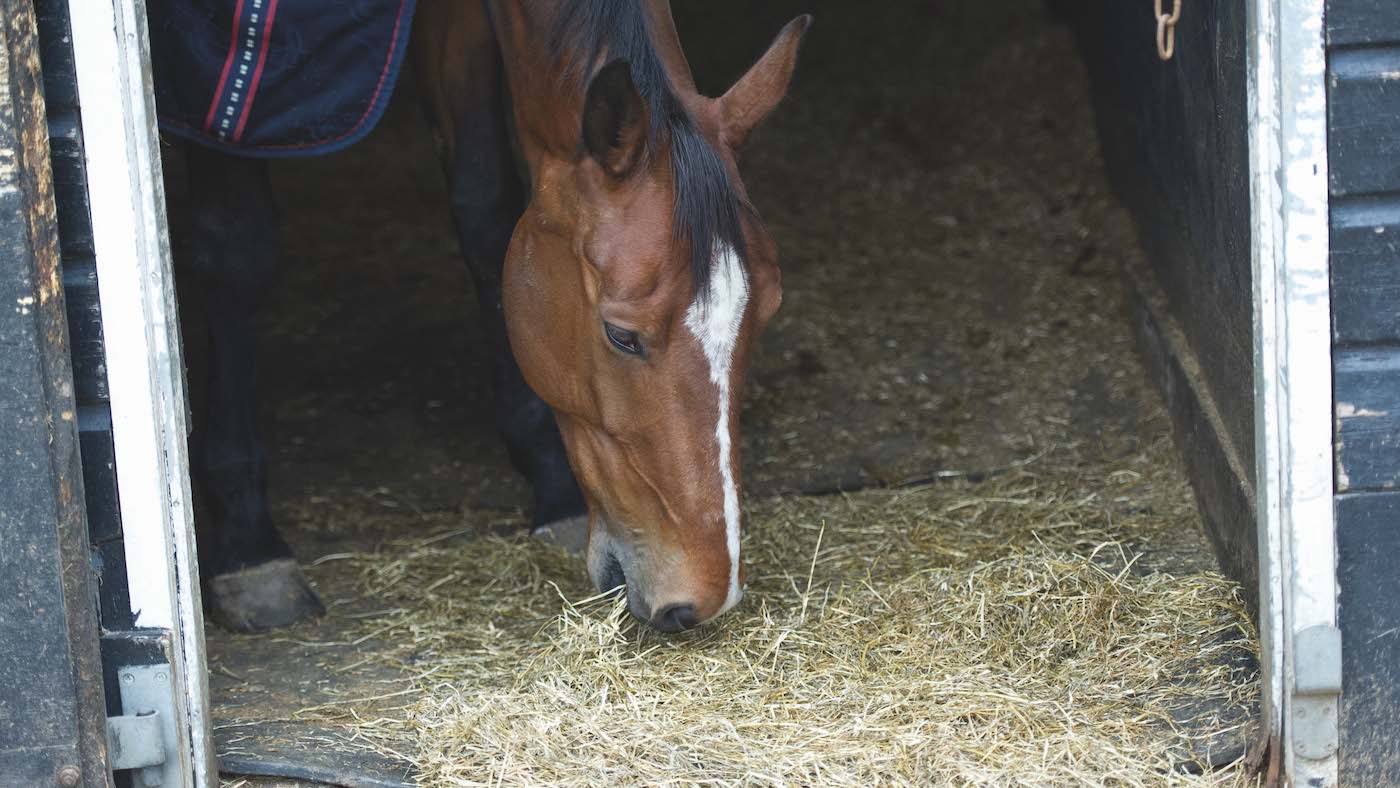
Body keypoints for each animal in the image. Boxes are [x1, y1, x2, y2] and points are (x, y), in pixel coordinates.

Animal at [168, 0, 809, 633]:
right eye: (621, 336)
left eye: (766, 313)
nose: (702, 598)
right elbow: (237, 250)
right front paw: (248, 541)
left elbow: (485, 210)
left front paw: (548, 480)